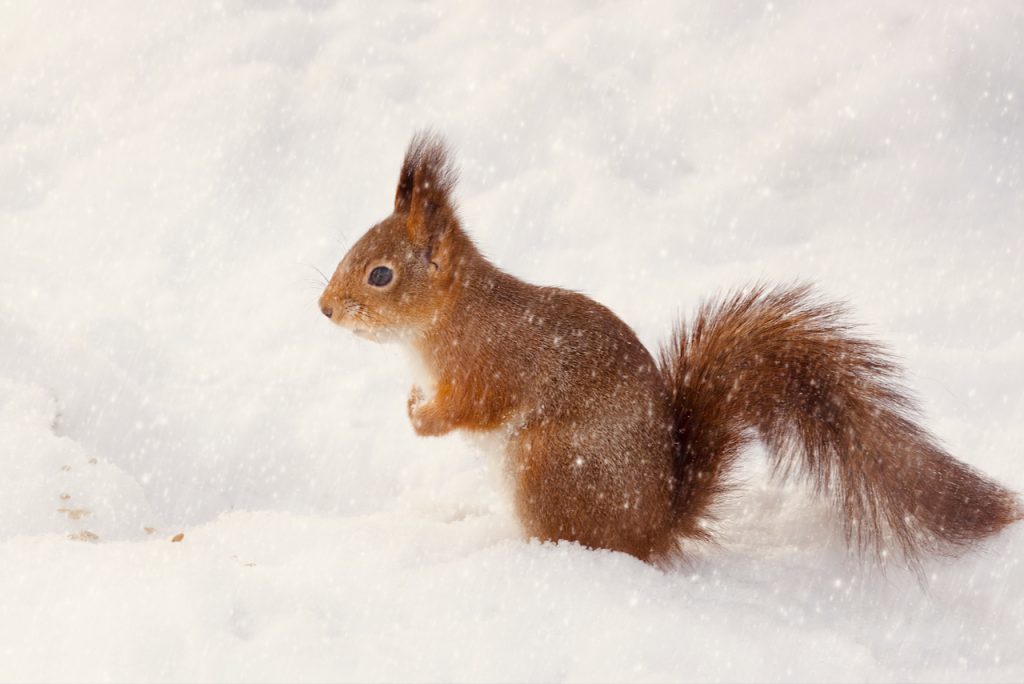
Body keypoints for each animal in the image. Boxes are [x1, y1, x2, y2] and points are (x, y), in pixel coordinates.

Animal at [315, 133, 1019, 565]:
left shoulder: (491, 364)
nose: (323, 308)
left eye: (381, 274)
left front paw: (420, 415)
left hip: (549, 468)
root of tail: (656, 524)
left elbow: (470, 408)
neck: (448, 318)